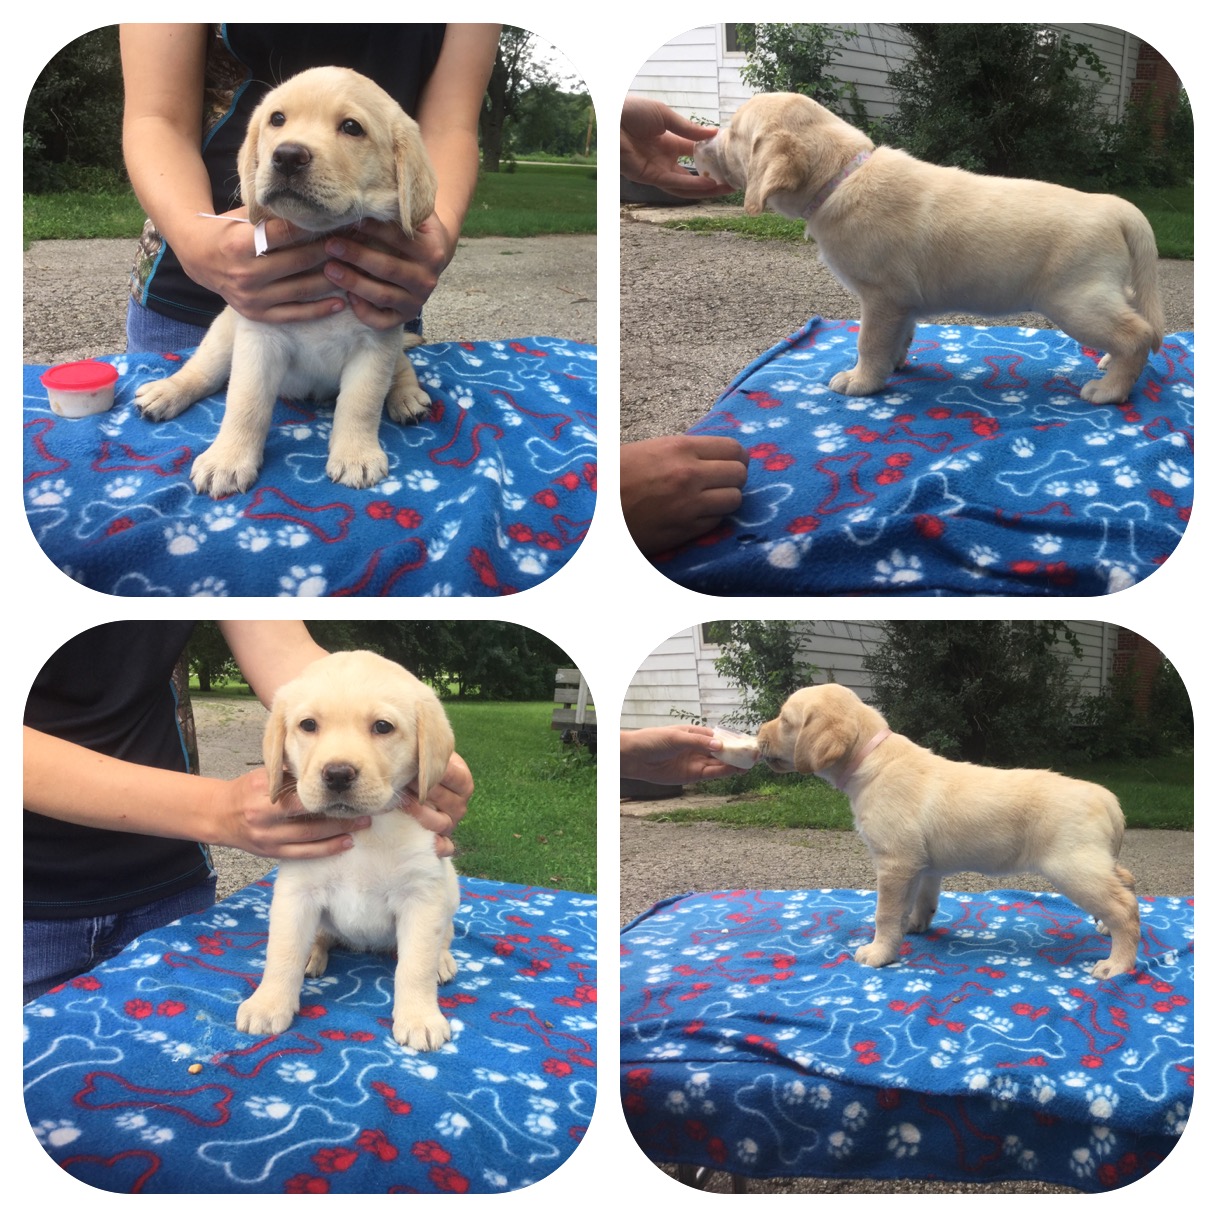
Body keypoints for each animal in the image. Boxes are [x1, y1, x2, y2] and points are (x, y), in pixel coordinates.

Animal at [136, 64, 440, 493]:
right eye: (277, 119)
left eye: (352, 127)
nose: (287, 156)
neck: (321, 240)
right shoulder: (259, 340)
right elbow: (245, 404)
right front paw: (228, 459)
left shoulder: (377, 341)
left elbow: (360, 404)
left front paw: (356, 455)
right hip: (224, 335)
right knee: (202, 372)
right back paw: (166, 391)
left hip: (394, 343)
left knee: (402, 368)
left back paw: (407, 397)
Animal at [237, 651, 459, 1050]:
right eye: (308, 725)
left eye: (383, 727)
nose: (338, 773)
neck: (364, 831)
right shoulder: (296, 893)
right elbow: (282, 952)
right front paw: (268, 1003)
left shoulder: (421, 896)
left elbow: (415, 964)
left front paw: (420, 1017)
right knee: (320, 937)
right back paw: (313, 953)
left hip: (450, 889)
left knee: (443, 936)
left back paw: (442, 961)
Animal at [690, 91, 1162, 403]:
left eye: (733, 134)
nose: (697, 142)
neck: (842, 176)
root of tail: (1116, 207)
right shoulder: (900, 303)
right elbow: (899, 336)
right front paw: (894, 364)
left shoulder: (882, 295)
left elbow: (869, 341)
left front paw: (862, 381)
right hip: (1099, 292)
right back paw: (1108, 363)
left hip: (1073, 299)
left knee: (1138, 335)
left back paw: (1110, 390)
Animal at [758, 685, 1138, 977]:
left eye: (786, 721)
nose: (759, 735)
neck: (871, 759)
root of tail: (1108, 799)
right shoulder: (922, 866)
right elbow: (921, 901)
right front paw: (913, 925)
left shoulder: (894, 863)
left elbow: (885, 913)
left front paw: (879, 953)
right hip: (1094, 861)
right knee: (1126, 881)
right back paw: (1106, 928)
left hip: (1072, 867)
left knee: (1126, 908)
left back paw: (1118, 964)